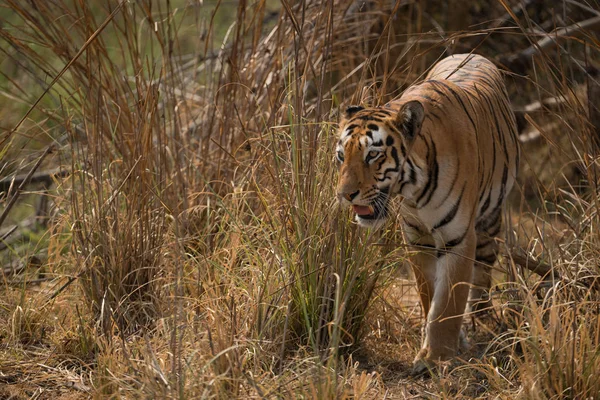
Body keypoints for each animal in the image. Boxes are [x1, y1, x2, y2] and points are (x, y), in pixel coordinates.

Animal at [336, 52, 516, 372]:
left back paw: (482, 320)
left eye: (373, 155)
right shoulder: (418, 238)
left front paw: (437, 357)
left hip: (489, 225)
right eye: (341, 156)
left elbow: (447, 303)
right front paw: (440, 346)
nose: (345, 195)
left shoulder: (458, 238)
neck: (414, 190)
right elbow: (429, 295)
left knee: (482, 276)